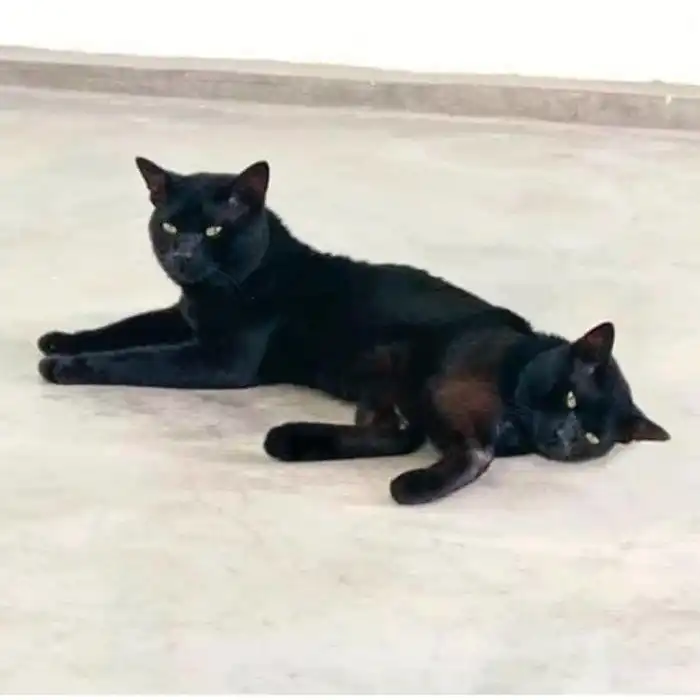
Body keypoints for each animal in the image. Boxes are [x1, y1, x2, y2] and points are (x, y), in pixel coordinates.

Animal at [38, 157, 531, 399]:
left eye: (214, 230)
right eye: (171, 226)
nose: (182, 254)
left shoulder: (218, 358)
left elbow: (138, 357)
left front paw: (63, 367)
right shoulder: (181, 317)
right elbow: (127, 327)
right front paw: (60, 340)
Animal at [263, 318, 670, 505]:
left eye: (591, 436)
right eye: (571, 399)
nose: (564, 436)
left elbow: (466, 449)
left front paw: (414, 486)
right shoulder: (441, 387)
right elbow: (462, 445)